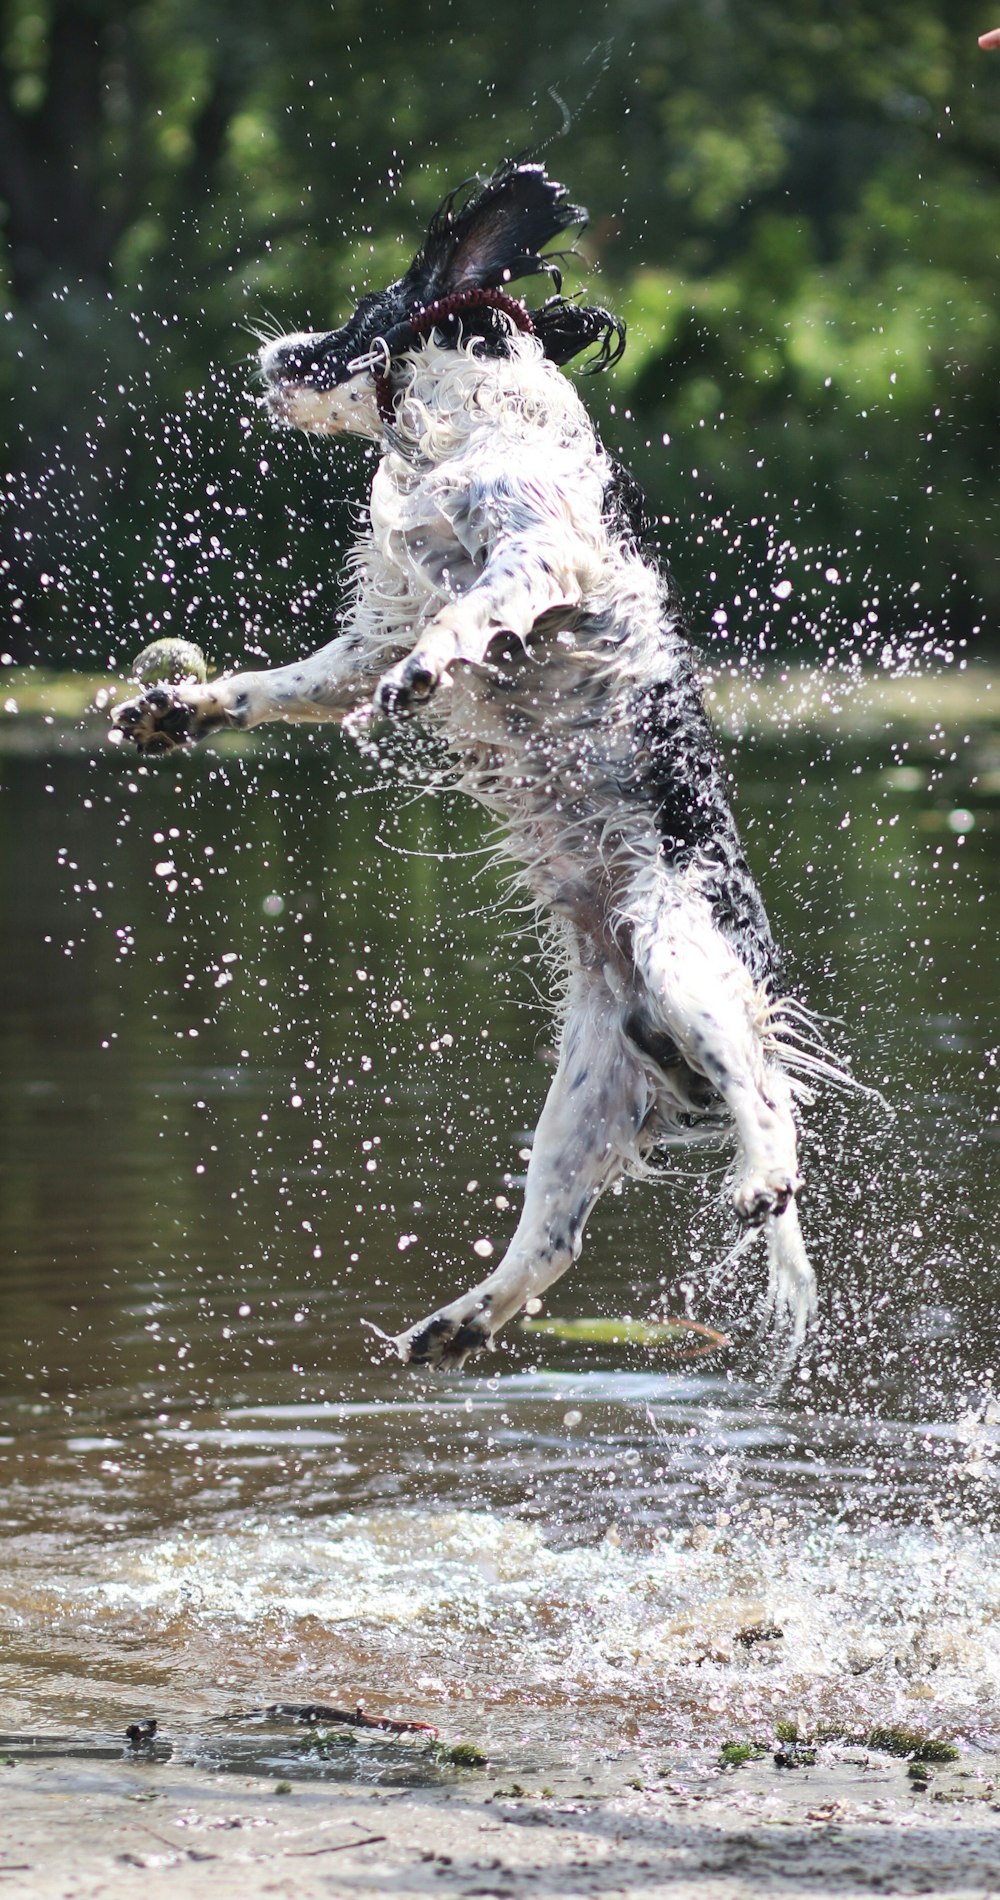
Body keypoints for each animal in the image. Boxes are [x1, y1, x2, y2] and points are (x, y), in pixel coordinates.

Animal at [111, 163, 832, 1368]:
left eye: (357, 316)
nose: (272, 352)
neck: (457, 420)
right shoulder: (369, 633)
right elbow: (289, 681)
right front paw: (177, 707)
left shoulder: (538, 548)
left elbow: (474, 610)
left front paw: (432, 668)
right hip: (585, 1094)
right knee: (552, 1243)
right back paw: (449, 1329)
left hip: (680, 951)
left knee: (767, 1105)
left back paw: (760, 1178)